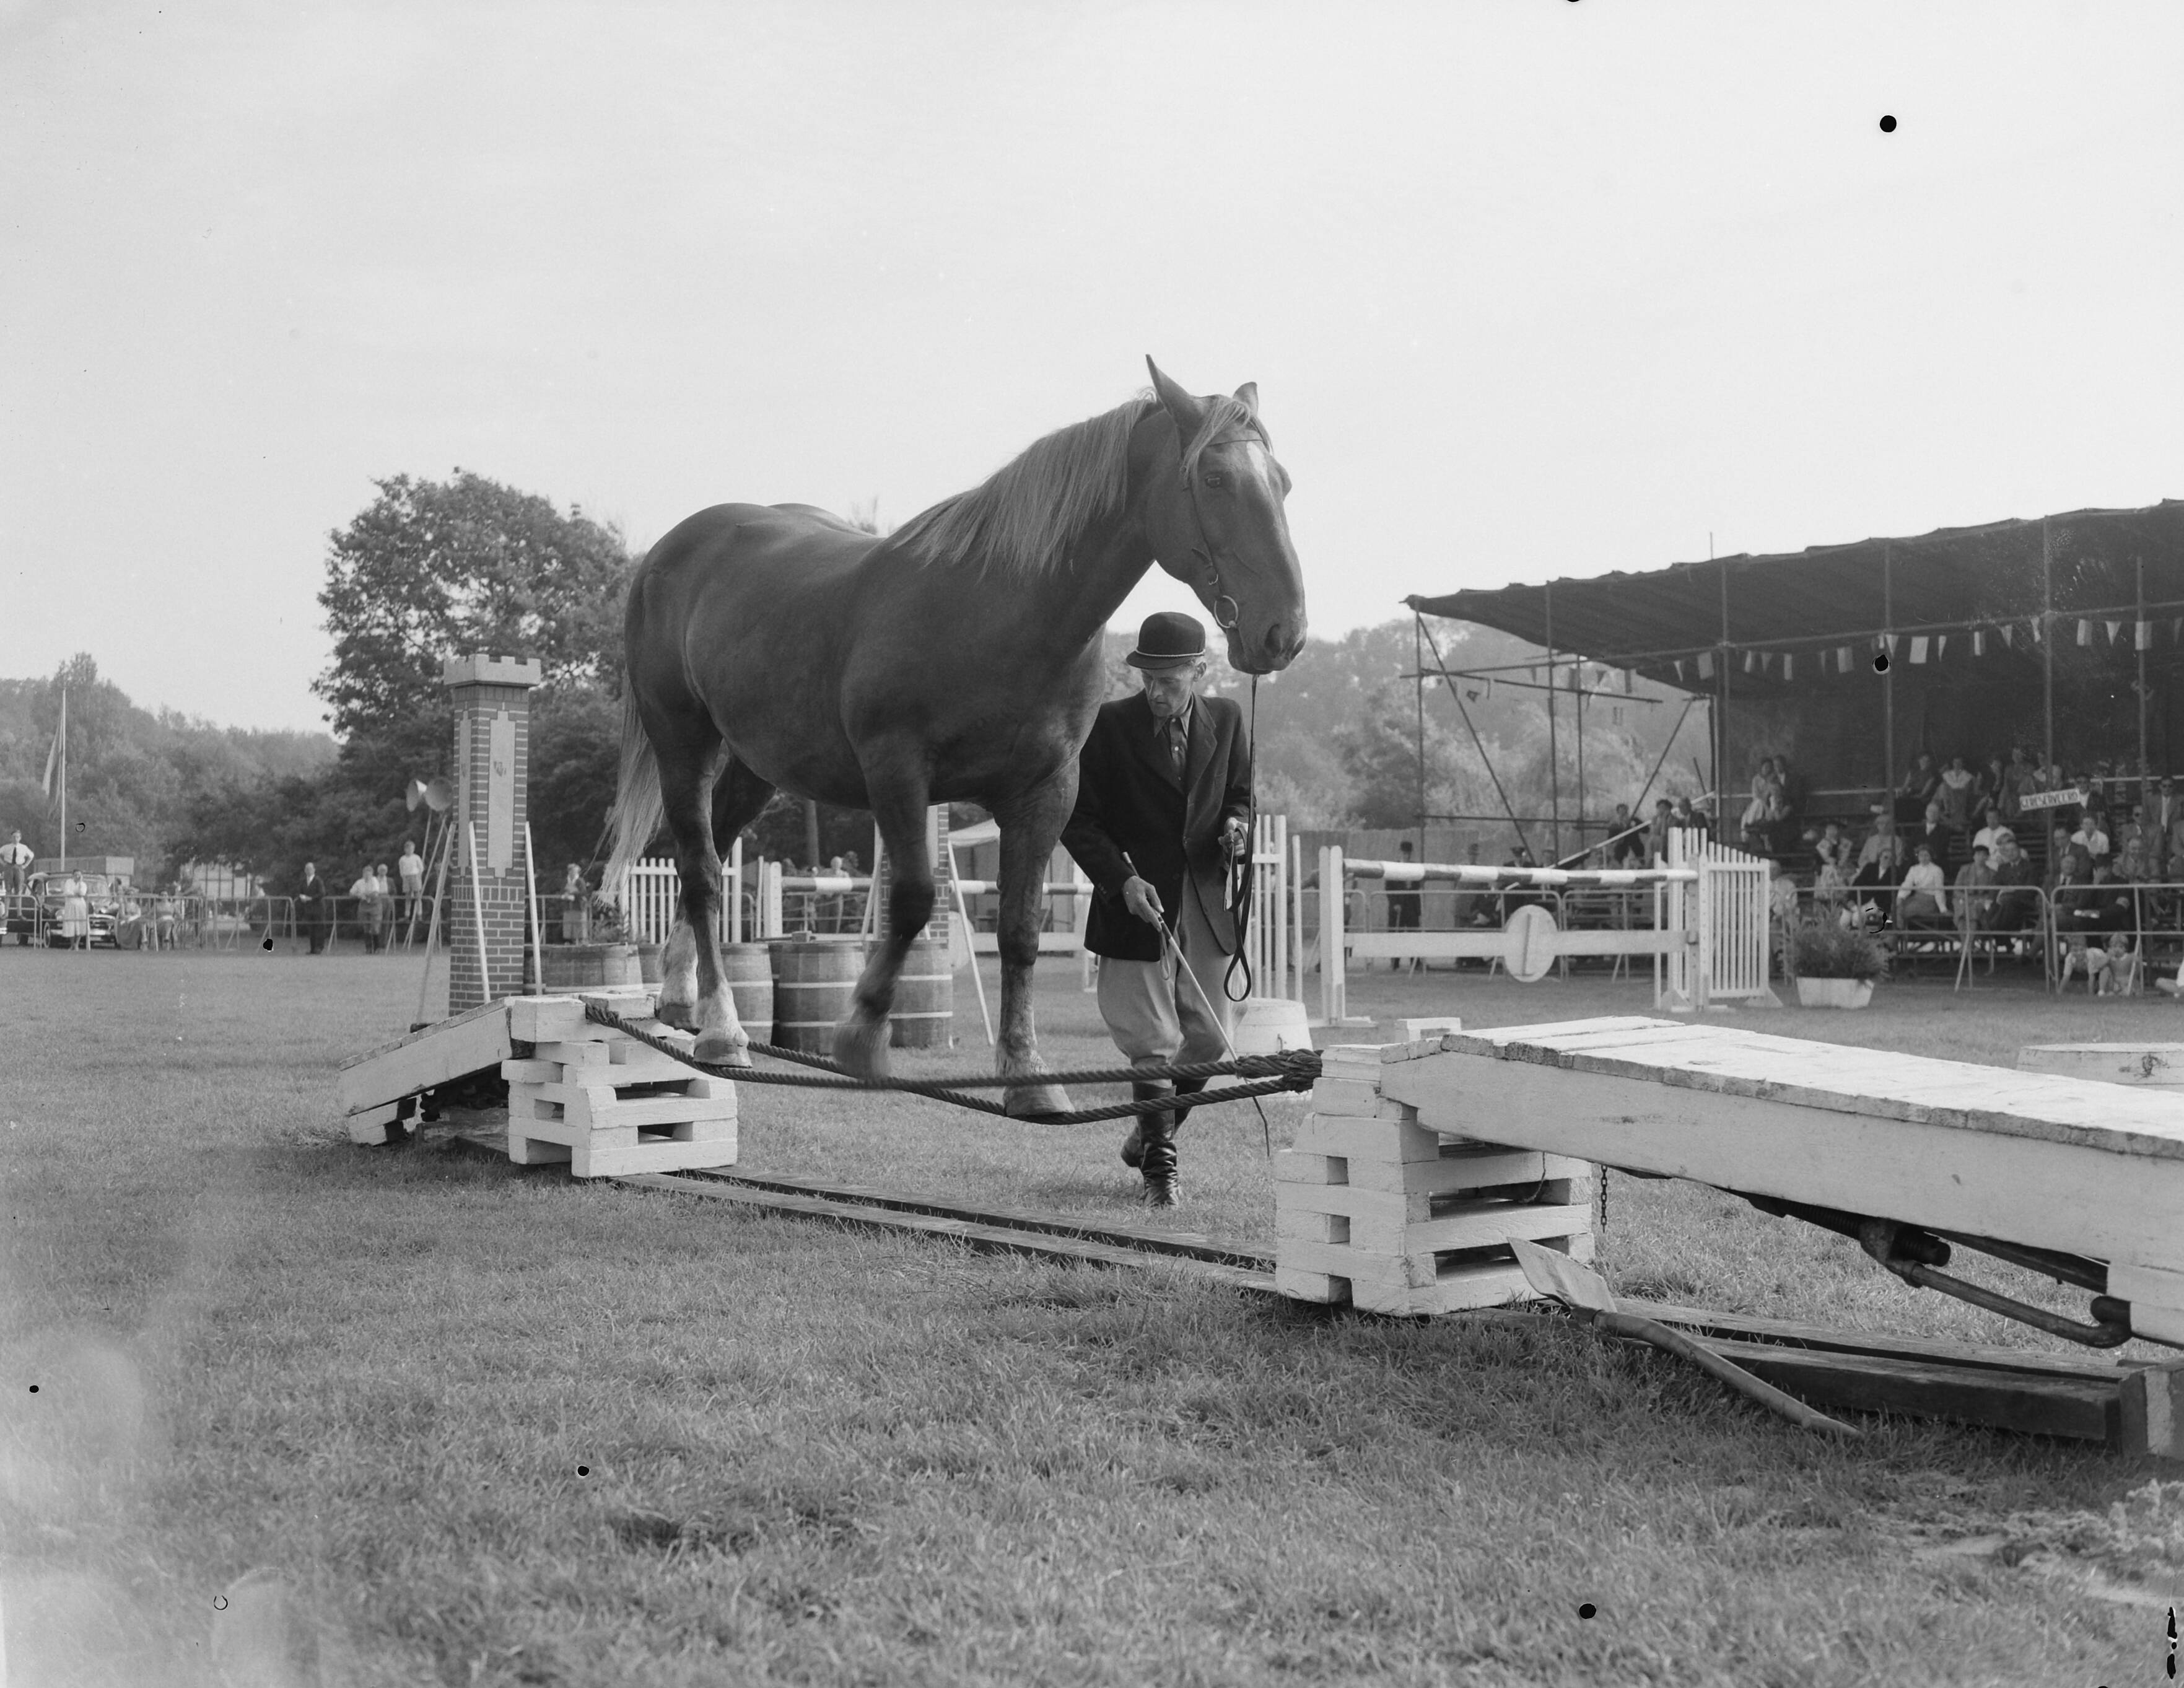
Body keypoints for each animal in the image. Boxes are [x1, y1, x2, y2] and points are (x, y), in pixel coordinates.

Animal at [604, 359, 1307, 1114]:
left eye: (1283, 481)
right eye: (1215, 479)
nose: (1284, 632)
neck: (1000, 611)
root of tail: (673, 550)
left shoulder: (1046, 794)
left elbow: (1022, 929)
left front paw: (1027, 1073)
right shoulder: (898, 772)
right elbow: (914, 899)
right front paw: (861, 1034)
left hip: (758, 766)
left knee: (706, 855)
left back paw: (682, 998)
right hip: (683, 743)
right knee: (702, 868)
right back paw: (722, 1029)